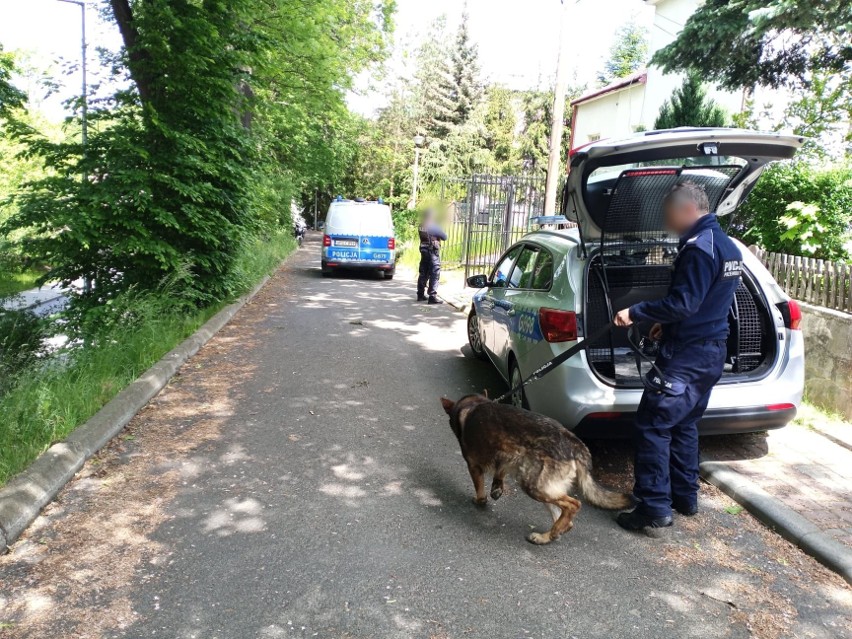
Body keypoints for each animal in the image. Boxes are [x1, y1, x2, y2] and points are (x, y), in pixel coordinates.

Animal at [440, 396, 632, 544]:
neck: (472, 404)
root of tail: (576, 444)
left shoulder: (473, 466)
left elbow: (480, 490)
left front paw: (480, 500)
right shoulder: (506, 458)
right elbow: (500, 472)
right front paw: (497, 488)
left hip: (535, 486)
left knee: (573, 505)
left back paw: (551, 533)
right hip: (543, 486)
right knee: (565, 519)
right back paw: (549, 535)